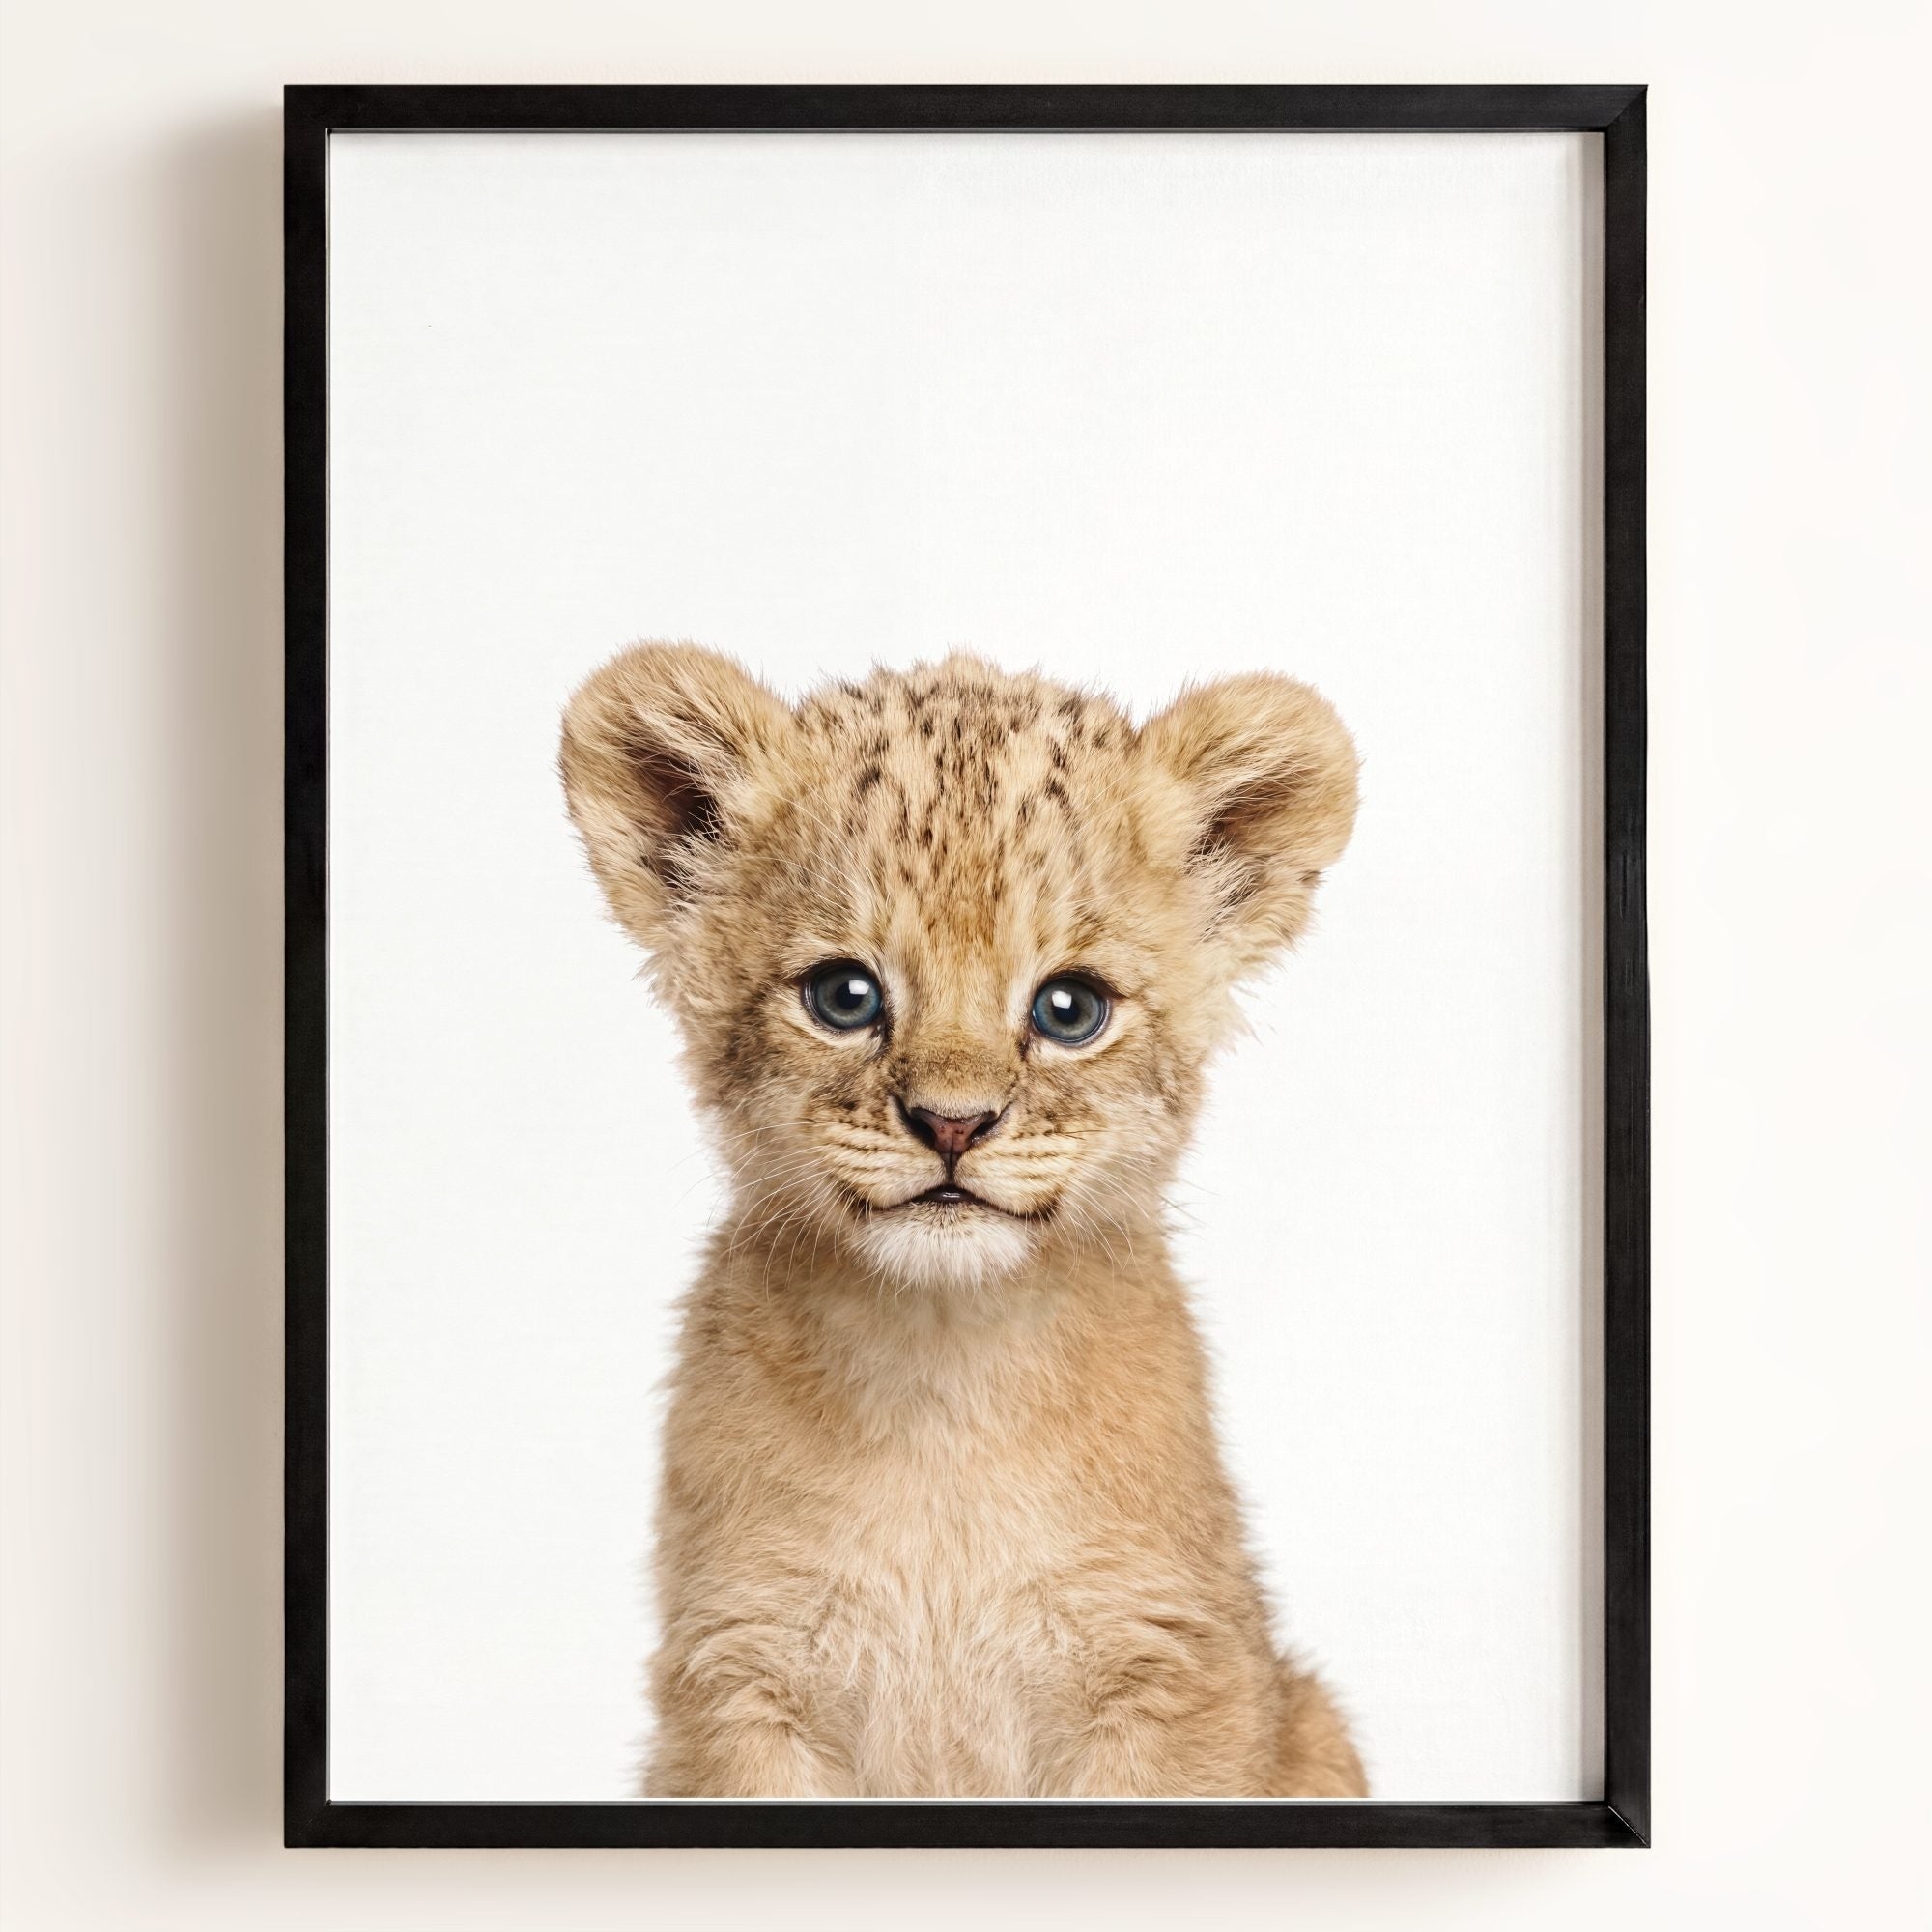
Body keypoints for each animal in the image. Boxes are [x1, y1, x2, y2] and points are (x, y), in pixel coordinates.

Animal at [560, 643, 1365, 1798]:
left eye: (1069, 1008)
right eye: (843, 995)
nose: (952, 1122)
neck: (942, 1377)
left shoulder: (1168, 1669)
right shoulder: (740, 1676)